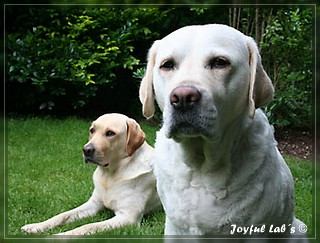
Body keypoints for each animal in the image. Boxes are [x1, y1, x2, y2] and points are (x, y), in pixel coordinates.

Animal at [21, 114, 160, 235]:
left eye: (110, 133)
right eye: (92, 130)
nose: (86, 150)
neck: (111, 175)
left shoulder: (128, 217)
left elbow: (88, 226)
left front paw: (60, 235)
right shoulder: (93, 204)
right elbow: (63, 215)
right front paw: (37, 226)